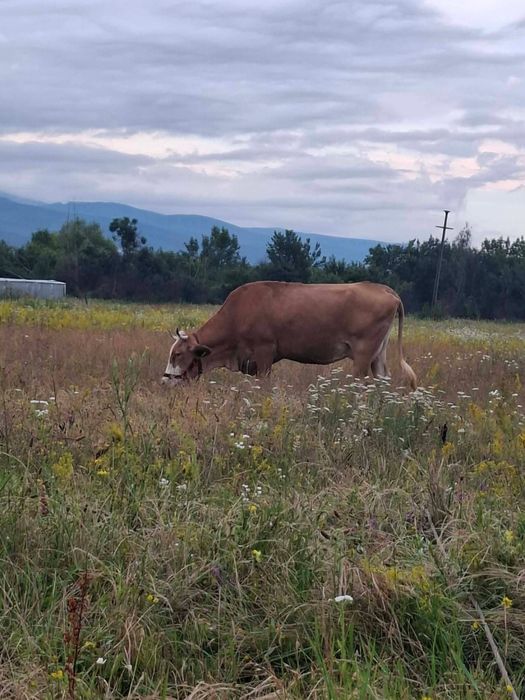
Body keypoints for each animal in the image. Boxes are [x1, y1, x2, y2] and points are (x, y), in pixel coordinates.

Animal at [162, 280, 417, 390]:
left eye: (177, 355)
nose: (165, 380)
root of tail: (383, 288)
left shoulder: (264, 352)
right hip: (378, 354)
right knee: (383, 379)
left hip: (363, 354)